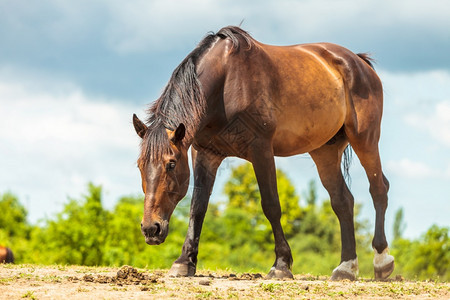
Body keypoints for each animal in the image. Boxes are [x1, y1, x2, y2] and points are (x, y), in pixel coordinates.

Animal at [133, 26, 394, 282]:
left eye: (171, 164)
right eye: (139, 166)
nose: (151, 228)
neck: (225, 82)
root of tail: (358, 62)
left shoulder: (261, 151)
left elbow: (271, 205)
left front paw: (281, 265)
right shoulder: (205, 154)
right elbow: (197, 207)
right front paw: (184, 262)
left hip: (365, 139)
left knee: (378, 189)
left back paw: (382, 262)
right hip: (324, 151)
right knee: (343, 201)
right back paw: (346, 268)